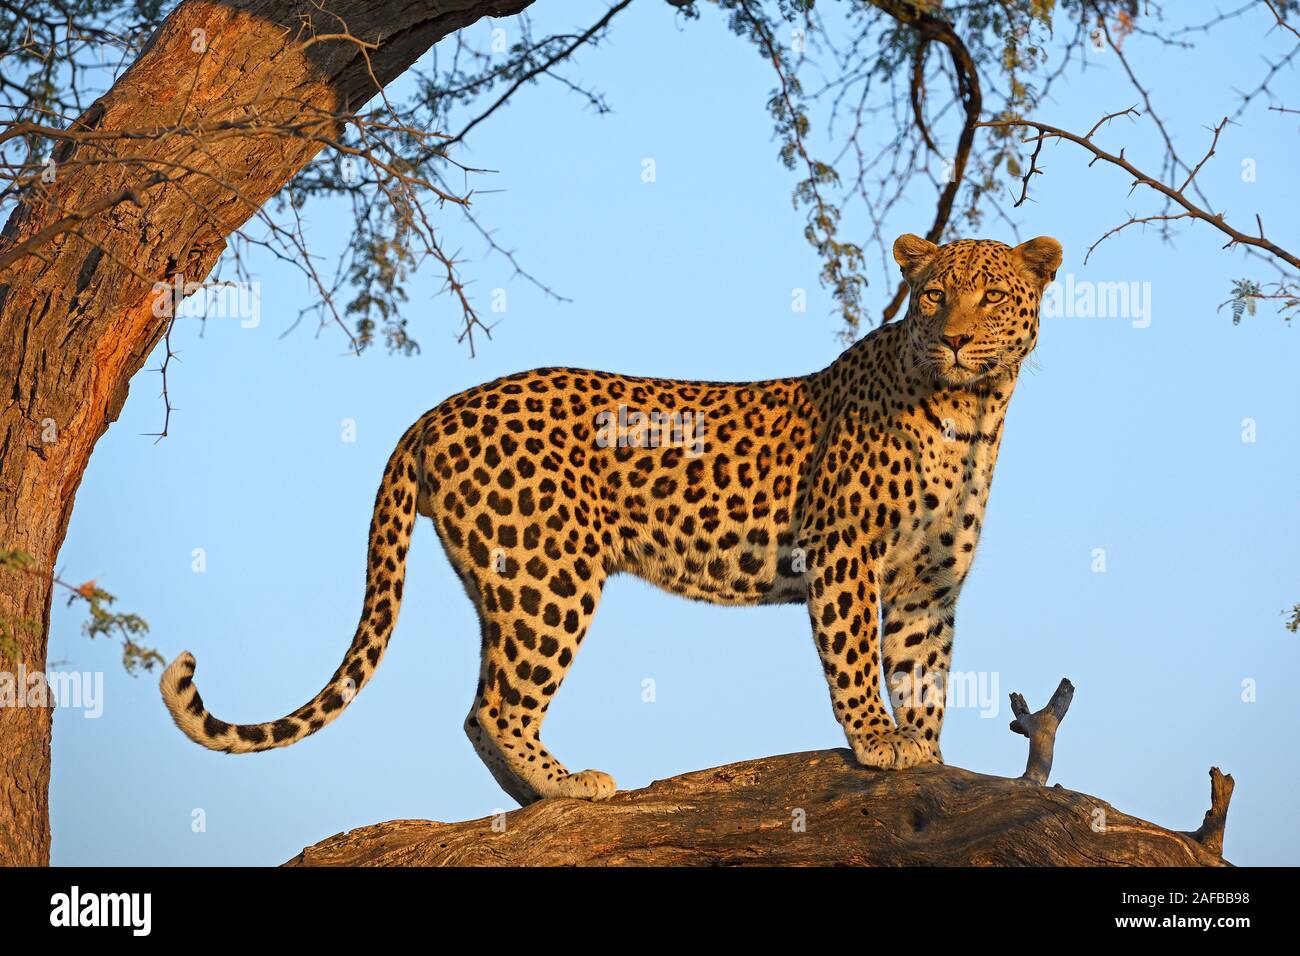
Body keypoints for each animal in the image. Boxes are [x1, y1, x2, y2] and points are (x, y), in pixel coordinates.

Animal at [161, 232, 1062, 806]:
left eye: (993, 296)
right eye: (934, 296)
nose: (955, 339)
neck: (971, 414)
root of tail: (435, 412)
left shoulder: (927, 585)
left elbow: (924, 671)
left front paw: (929, 753)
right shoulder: (845, 555)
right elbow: (853, 662)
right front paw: (879, 742)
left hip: (507, 574)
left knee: (479, 708)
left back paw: (535, 802)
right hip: (548, 572)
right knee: (498, 705)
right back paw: (570, 787)